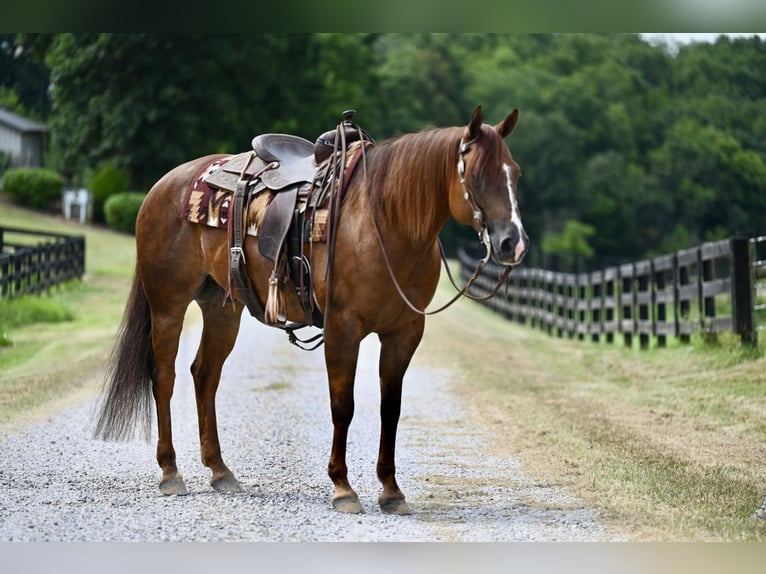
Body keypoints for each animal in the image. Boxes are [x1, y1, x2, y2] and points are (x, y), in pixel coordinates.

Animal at [93, 105, 528, 515]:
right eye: (477, 175)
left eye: (516, 174)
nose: (513, 243)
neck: (385, 222)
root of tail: (162, 185)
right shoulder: (342, 329)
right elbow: (343, 406)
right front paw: (343, 488)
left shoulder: (404, 333)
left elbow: (391, 408)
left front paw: (391, 491)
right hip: (168, 303)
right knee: (163, 376)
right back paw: (170, 472)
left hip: (221, 308)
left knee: (205, 375)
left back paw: (220, 471)